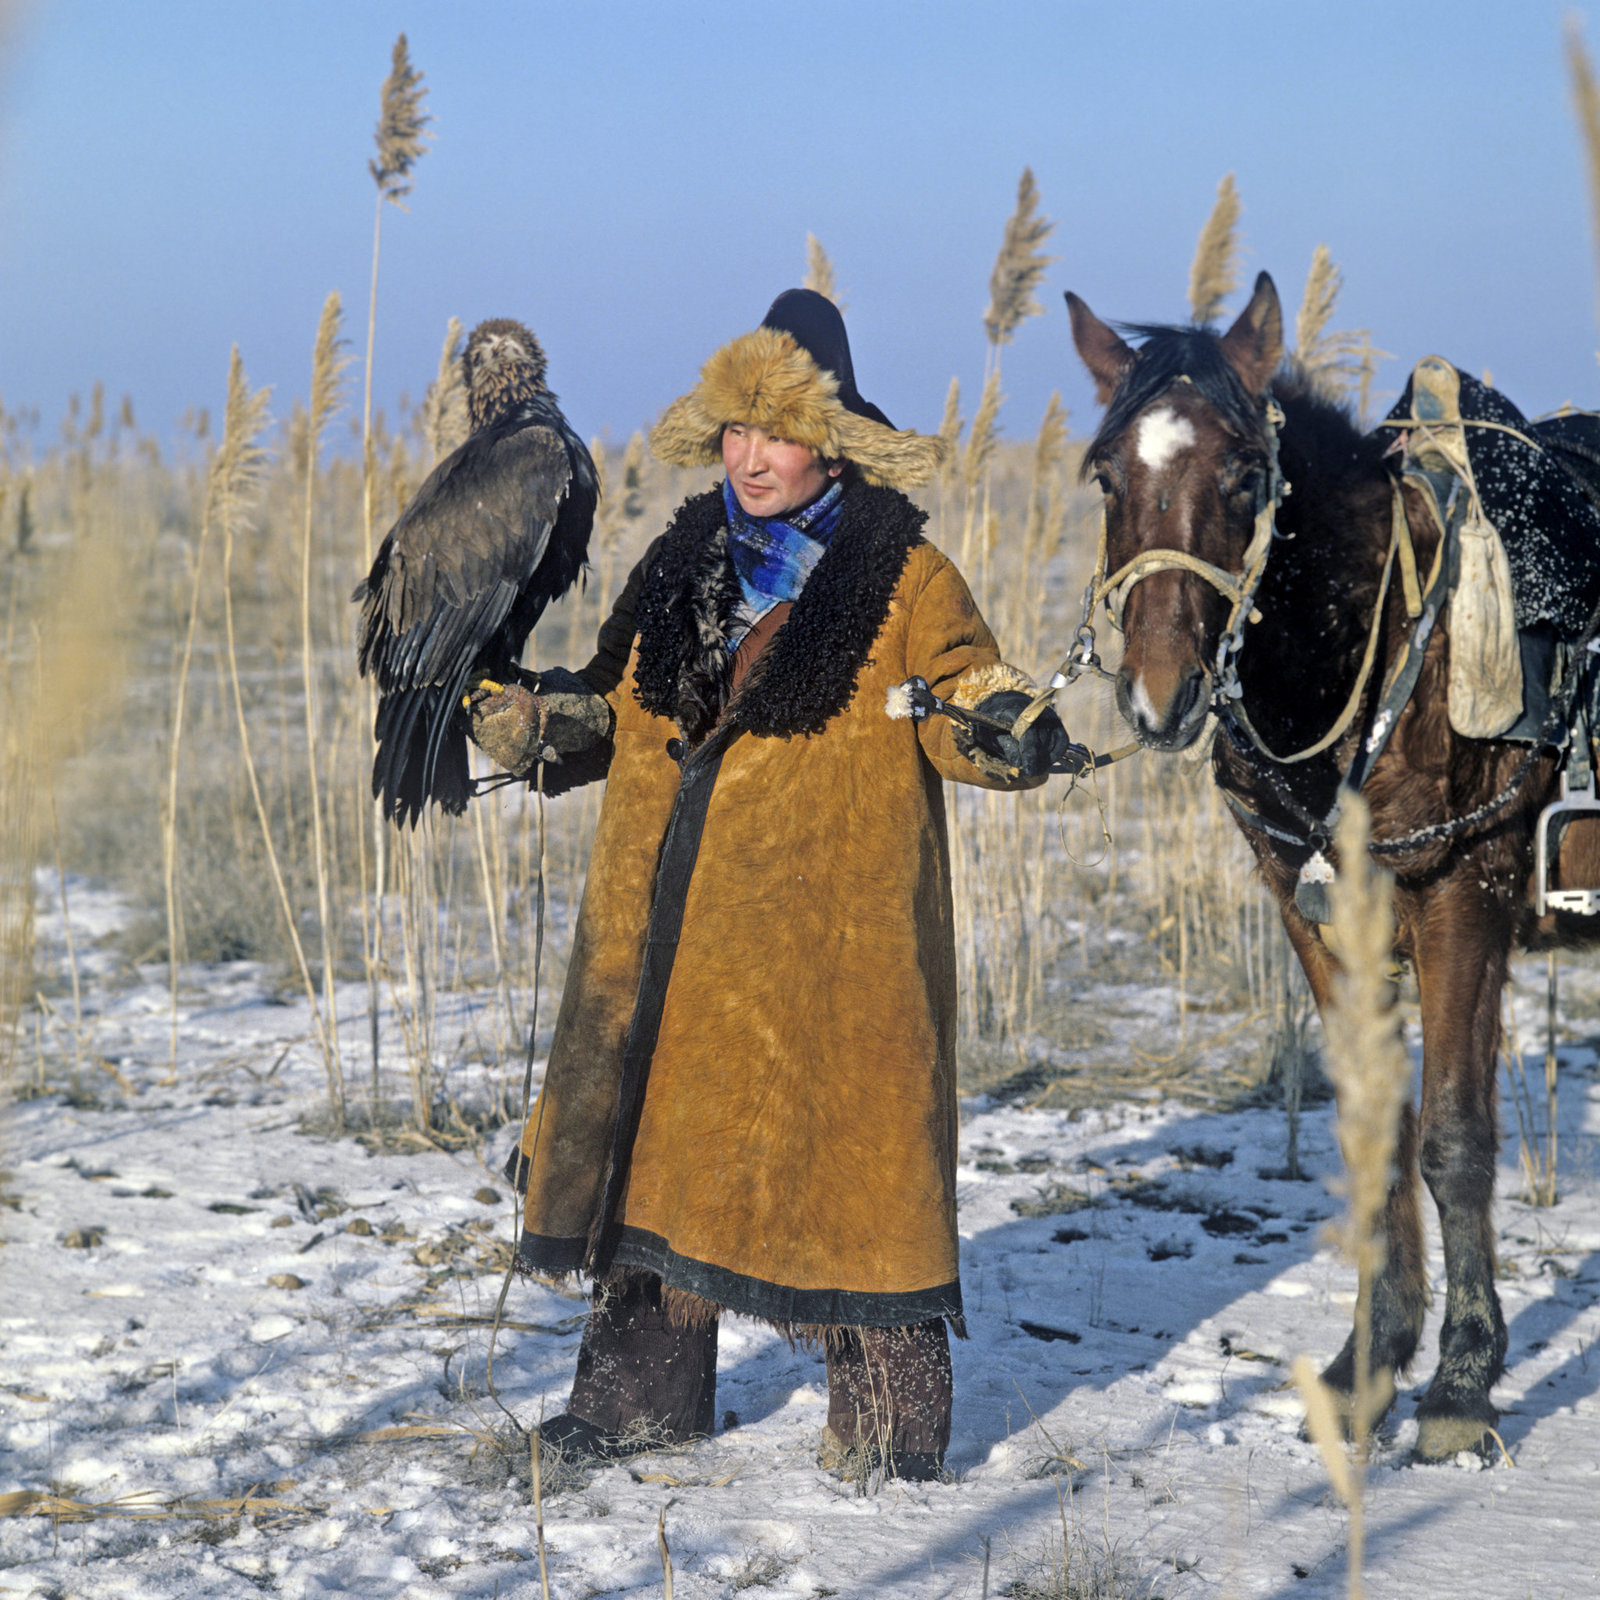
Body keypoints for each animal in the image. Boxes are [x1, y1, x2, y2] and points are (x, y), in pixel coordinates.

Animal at [1062, 275, 1600, 1465]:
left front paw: (1461, 1381)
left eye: (1243, 474)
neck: (1383, 642)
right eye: (1109, 474)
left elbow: (1453, 1138)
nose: (1158, 695)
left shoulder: (1461, 900)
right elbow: (1377, 1131)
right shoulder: (1317, 919)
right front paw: (1370, 1364)